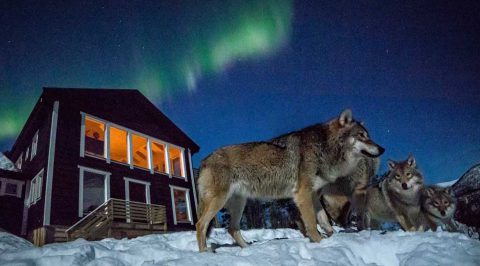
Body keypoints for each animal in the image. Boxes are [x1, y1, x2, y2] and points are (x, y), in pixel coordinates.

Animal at [193, 108, 384, 251]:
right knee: (200, 224)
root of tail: (204, 161)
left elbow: (324, 220)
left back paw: (248, 249)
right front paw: (319, 242)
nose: (382, 149)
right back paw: (205, 253)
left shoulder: (314, 195)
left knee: (232, 229)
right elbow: (312, 224)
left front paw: (331, 240)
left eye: (368, 135)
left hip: (240, 204)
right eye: (361, 135)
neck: (325, 148)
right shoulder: (302, 194)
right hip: (219, 202)